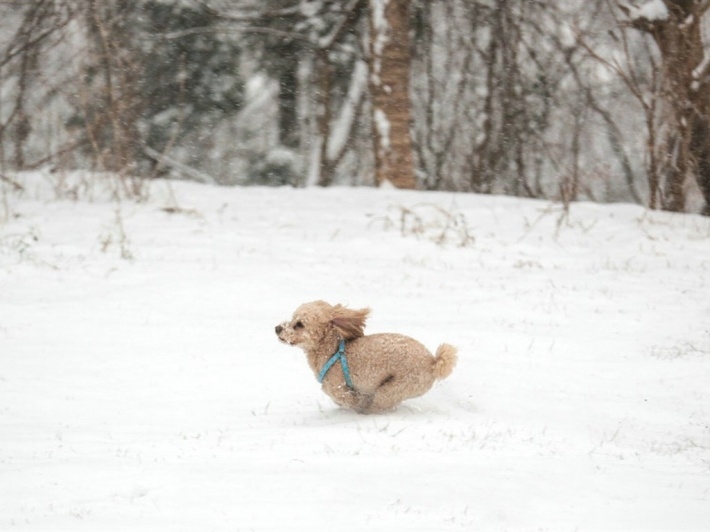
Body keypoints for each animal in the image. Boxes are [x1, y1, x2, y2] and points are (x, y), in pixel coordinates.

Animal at [276, 302, 458, 414]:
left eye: (299, 324)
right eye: (292, 318)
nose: (277, 328)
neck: (331, 351)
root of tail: (433, 362)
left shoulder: (339, 389)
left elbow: (349, 400)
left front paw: (358, 407)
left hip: (394, 388)